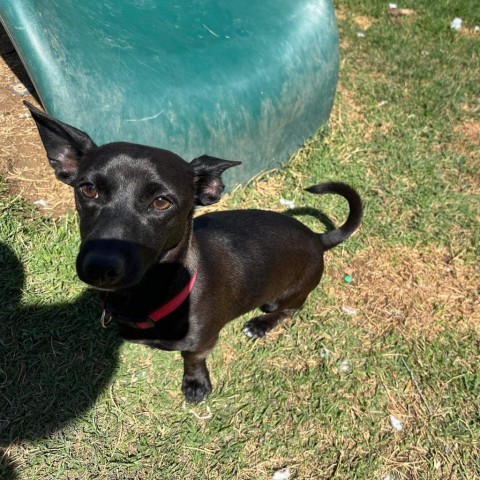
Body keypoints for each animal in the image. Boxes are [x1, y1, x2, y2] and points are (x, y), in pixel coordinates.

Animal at [26, 102, 362, 404]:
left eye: (162, 202)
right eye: (88, 189)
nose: (99, 267)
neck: (153, 292)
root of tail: (316, 238)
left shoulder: (201, 344)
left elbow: (193, 361)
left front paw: (196, 385)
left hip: (282, 297)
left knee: (290, 310)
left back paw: (260, 325)